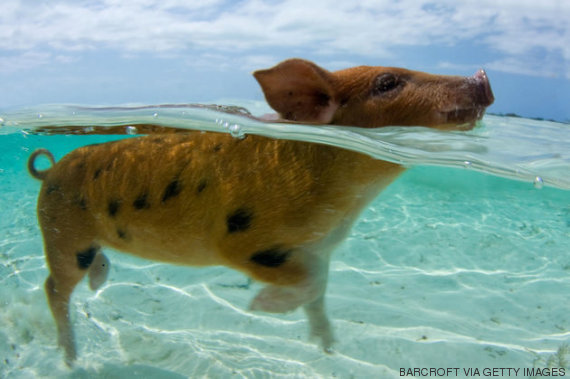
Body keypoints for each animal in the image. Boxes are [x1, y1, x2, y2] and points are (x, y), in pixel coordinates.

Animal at [26, 58, 490, 366]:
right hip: (62, 232)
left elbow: (320, 288)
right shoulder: (242, 240)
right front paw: (260, 307)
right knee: (53, 287)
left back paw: (99, 283)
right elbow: (308, 282)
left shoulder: (321, 247)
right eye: (388, 83)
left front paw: (327, 347)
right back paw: (70, 358)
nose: (482, 76)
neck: (346, 200)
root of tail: (48, 171)